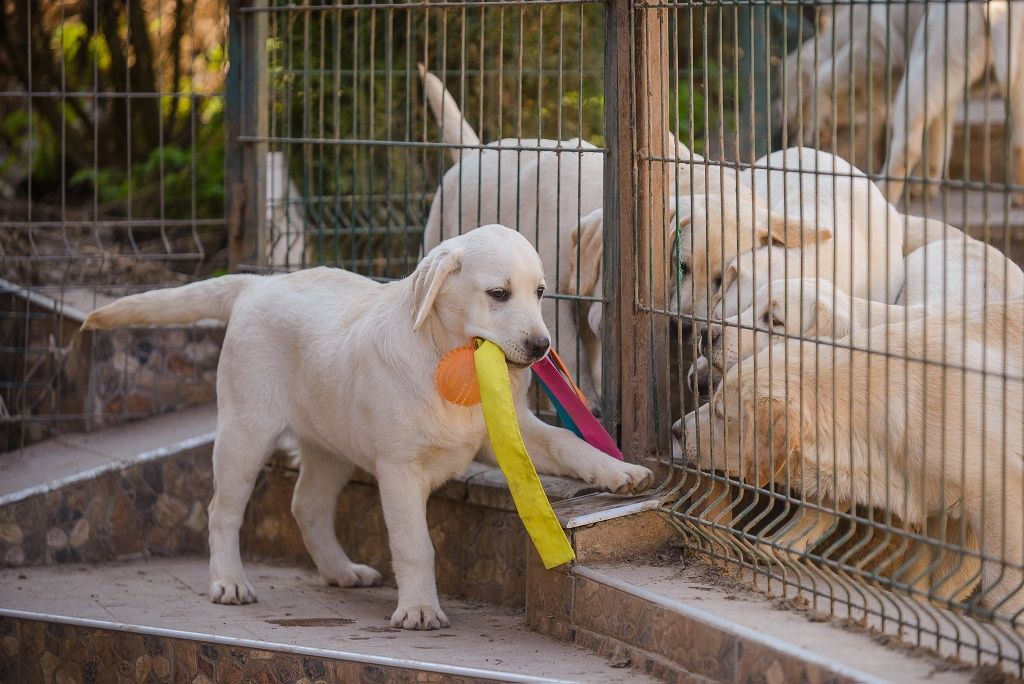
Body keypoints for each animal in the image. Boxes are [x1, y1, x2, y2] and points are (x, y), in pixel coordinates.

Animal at [83, 225, 651, 630]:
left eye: (540, 292)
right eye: (498, 293)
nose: (540, 348)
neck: (447, 361)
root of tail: (260, 281)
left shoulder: (511, 432)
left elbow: (565, 441)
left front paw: (619, 473)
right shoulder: (399, 470)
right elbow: (415, 544)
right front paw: (419, 610)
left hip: (330, 446)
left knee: (306, 505)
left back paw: (340, 571)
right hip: (245, 430)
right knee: (222, 510)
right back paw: (228, 581)